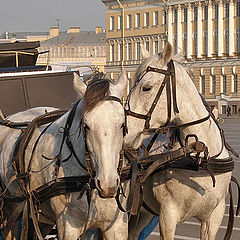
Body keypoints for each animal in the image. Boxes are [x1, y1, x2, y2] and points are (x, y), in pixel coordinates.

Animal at [0, 72, 129, 239]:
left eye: (122, 124)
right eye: (86, 126)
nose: (108, 185)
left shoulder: (116, 226)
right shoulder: (67, 226)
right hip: (11, 211)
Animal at [124, 43, 234, 240]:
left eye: (146, 87)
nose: (124, 129)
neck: (199, 155)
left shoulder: (214, 217)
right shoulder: (167, 216)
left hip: (143, 213)